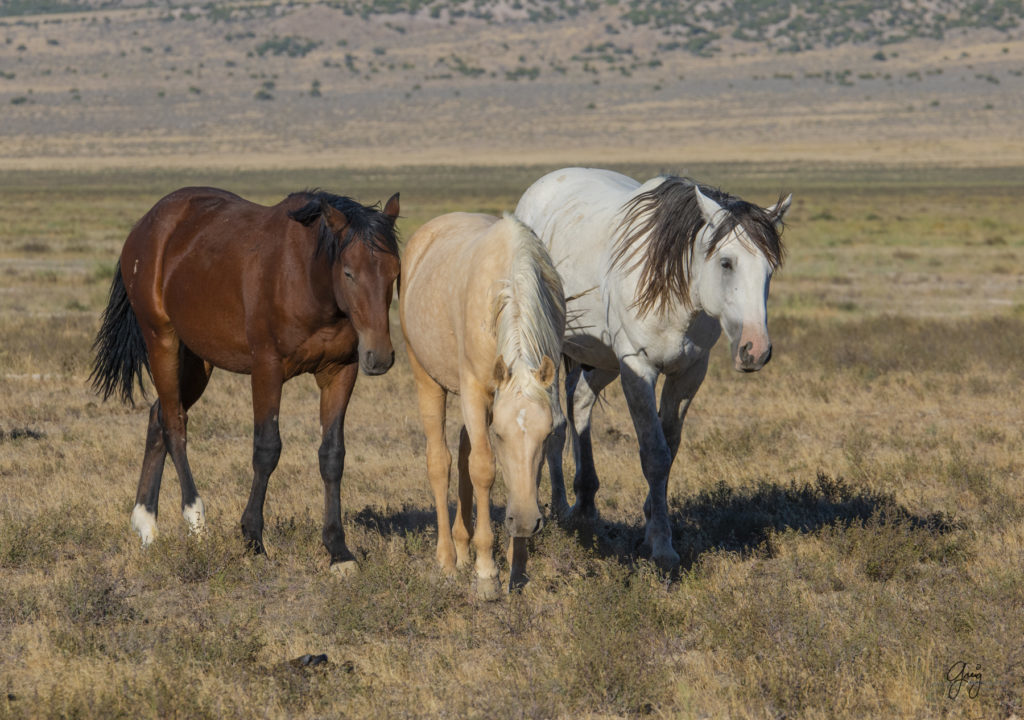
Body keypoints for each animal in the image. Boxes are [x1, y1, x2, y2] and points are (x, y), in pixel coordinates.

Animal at [90, 187, 399, 573]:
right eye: (348, 272)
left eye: (395, 272)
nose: (380, 356)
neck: (307, 280)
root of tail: (147, 224)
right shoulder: (267, 369)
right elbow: (267, 449)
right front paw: (253, 540)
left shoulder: (340, 372)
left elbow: (332, 456)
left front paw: (338, 550)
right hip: (162, 340)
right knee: (175, 425)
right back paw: (196, 522)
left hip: (197, 361)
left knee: (157, 417)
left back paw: (146, 525)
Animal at [397, 214, 565, 602]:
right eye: (500, 435)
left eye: (548, 435)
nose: (525, 521)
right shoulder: (475, 392)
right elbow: (484, 469)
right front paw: (487, 572)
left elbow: (520, 476)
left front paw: (517, 568)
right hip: (428, 380)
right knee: (440, 462)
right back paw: (447, 560)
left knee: (462, 452)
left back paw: (462, 548)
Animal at [512, 168, 790, 569]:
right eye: (726, 262)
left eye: (769, 269)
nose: (756, 350)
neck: (677, 294)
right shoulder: (637, 367)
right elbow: (654, 454)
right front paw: (662, 547)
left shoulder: (689, 372)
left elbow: (669, 448)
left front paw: (649, 526)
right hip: (547, 349)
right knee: (554, 424)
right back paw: (557, 510)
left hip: (602, 359)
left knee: (579, 405)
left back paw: (585, 505)